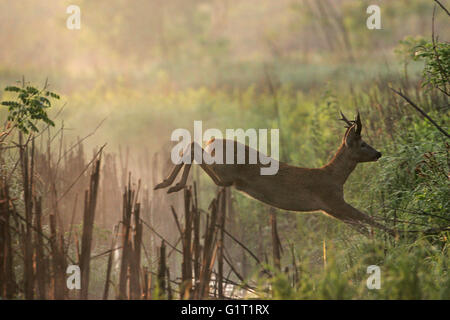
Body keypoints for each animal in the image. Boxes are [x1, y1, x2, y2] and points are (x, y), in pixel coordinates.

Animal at [155, 111, 394, 236]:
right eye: (363, 144)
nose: (379, 153)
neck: (334, 177)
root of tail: (213, 140)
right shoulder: (333, 200)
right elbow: (370, 220)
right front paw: (397, 235)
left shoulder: (332, 210)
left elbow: (365, 226)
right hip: (225, 170)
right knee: (194, 148)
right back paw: (170, 184)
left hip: (226, 177)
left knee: (196, 151)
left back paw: (166, 183)